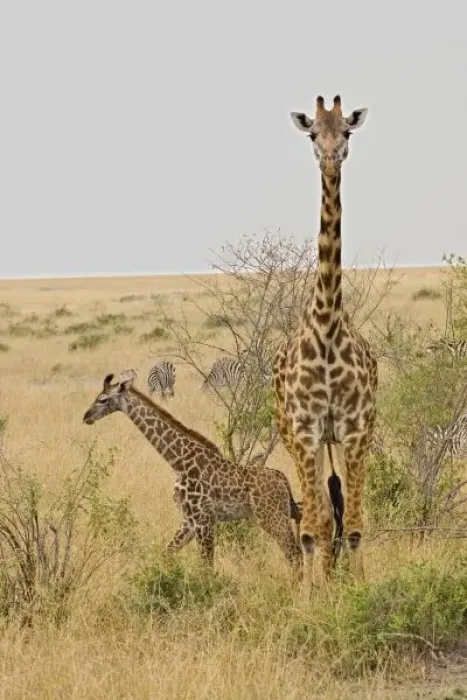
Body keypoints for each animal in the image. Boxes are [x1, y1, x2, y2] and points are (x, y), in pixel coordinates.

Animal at [82, 369, 302, 573]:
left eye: (102, 399)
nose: (86, 417)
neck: (178, 462)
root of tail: (282, 479)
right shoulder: (188, 520)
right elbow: (167, 553)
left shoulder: (203, 520)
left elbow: (206, 569)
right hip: (279, 515)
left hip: (271, 517)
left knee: (295, 555)